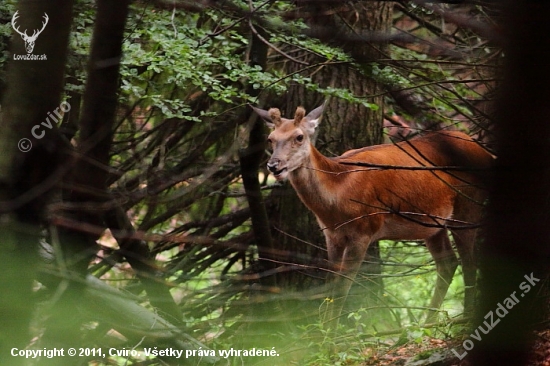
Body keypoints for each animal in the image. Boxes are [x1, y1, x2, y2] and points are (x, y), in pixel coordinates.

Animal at [254, 103, 496, 328]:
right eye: (270, 139)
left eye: (299, 136)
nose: (273, 165)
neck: (336, 198)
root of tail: (486, 153)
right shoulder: (331, 235)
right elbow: (331, 283)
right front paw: (323, 334)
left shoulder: (363, 230)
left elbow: (343, 286)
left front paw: (330, 340)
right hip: (432, 224)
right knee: (448, 263)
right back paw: (426, 324)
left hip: (467, 205)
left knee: (468, 262)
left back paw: (464, 319)